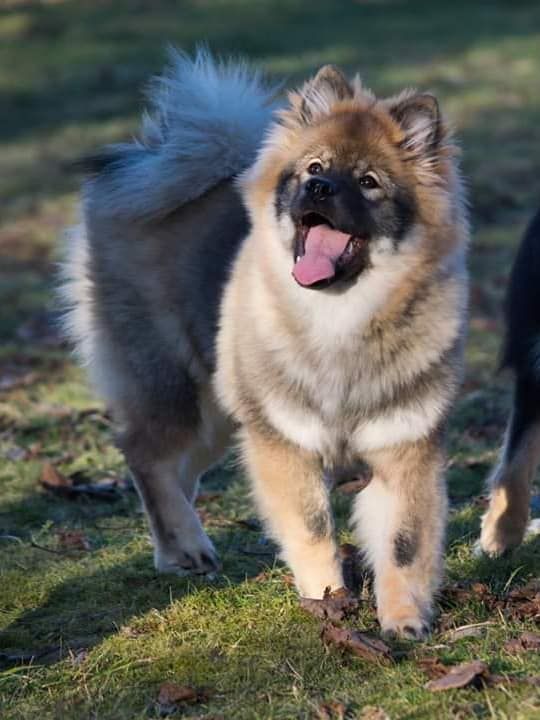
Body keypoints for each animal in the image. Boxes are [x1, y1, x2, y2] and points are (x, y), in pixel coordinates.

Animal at [62, 49, 468, 636]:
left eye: (368, 182)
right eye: (315, 169)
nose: (319, 190)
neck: (340, 322)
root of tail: (152, 160)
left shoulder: (403, 446)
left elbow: (404, 544)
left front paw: (405, 620)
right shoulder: (284, 441)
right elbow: (312, 526)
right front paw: (327, 598)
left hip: (219, 413)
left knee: (176, 469)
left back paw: (173, 550)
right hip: (176, 388)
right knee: (145, 454)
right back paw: (187, 545)